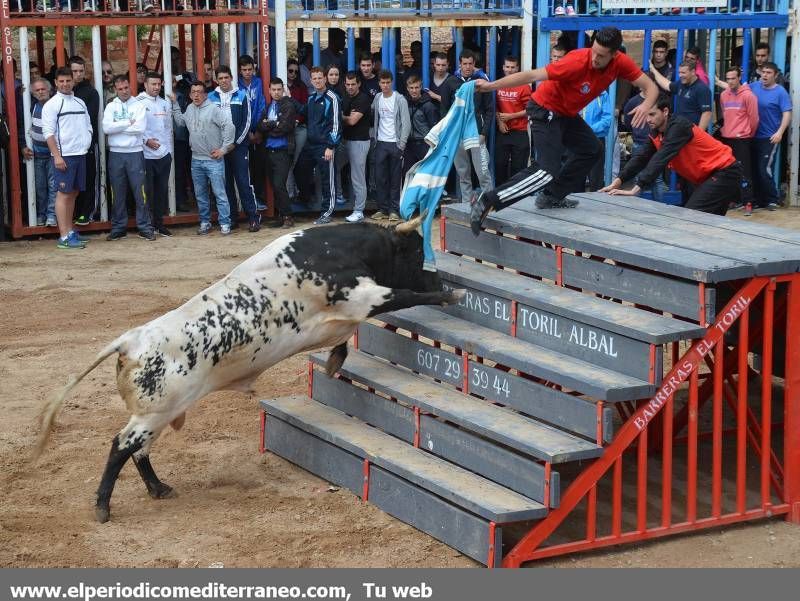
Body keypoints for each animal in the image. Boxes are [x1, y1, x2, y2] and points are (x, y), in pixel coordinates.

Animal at [34, 217, 466, 520]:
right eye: (413, 254)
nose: (439, 277)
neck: (337, 250)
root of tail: (132, 340)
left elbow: (345, 339)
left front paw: (335, 361)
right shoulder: (364, 295)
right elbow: (405, 295)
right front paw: (451, 294)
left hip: (160, 414)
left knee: (138, 451)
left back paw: (158, 489)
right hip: (153, 413)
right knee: (121, 445)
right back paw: (104, 506)